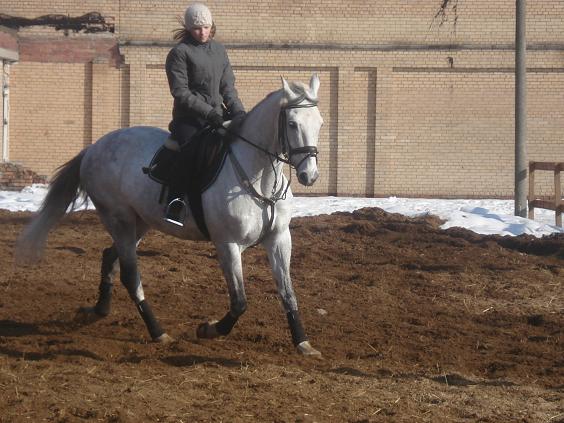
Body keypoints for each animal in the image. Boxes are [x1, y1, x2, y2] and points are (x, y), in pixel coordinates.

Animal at [15, 74, 324, 356]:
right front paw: (208, 329)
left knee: (110, 257)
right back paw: (157, 332)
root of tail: (93, 148)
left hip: (138, 223)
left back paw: (99, 310)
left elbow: (288, 293)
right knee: (130, 275)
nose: (309, 175)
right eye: (292, 123)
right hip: (119, 220)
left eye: (320, 122)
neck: (258, 176)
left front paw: (303, 343)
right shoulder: (228, 244)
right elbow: (239, 302)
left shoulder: (279, 239)